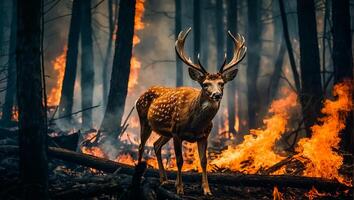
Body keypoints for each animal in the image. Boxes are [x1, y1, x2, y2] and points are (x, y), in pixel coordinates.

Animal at [136, 27, 246, 195]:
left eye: (221, 83)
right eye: (205, 84)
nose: (217, 95)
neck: (195, 125)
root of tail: (140, 96)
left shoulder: (204, 135)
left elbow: (204, 161)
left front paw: (207, 189)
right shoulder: (177, 132)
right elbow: (180, 160)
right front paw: (180, 188)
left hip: (165, 132)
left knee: (156, 145)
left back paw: (164, 179)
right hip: (145, 120)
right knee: (142, 146)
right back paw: (141, 176)